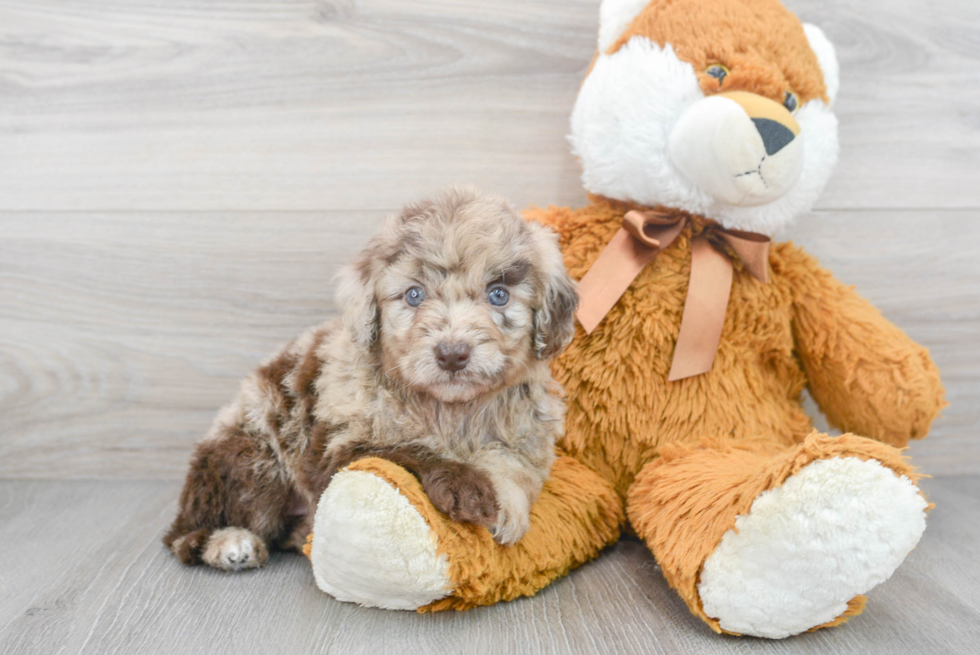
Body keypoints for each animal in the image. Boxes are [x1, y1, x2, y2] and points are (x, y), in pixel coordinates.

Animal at [165, 187, 580, 572]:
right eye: (414, 295)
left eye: (498, 295)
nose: (452, 354)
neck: (449, 410)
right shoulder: (340, 444)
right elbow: (405, 450)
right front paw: (467, 487)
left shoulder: (526, 432)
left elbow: (513, 466)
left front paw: (506, 505)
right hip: (252, 457)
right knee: (186, 535)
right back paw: (230, 543)